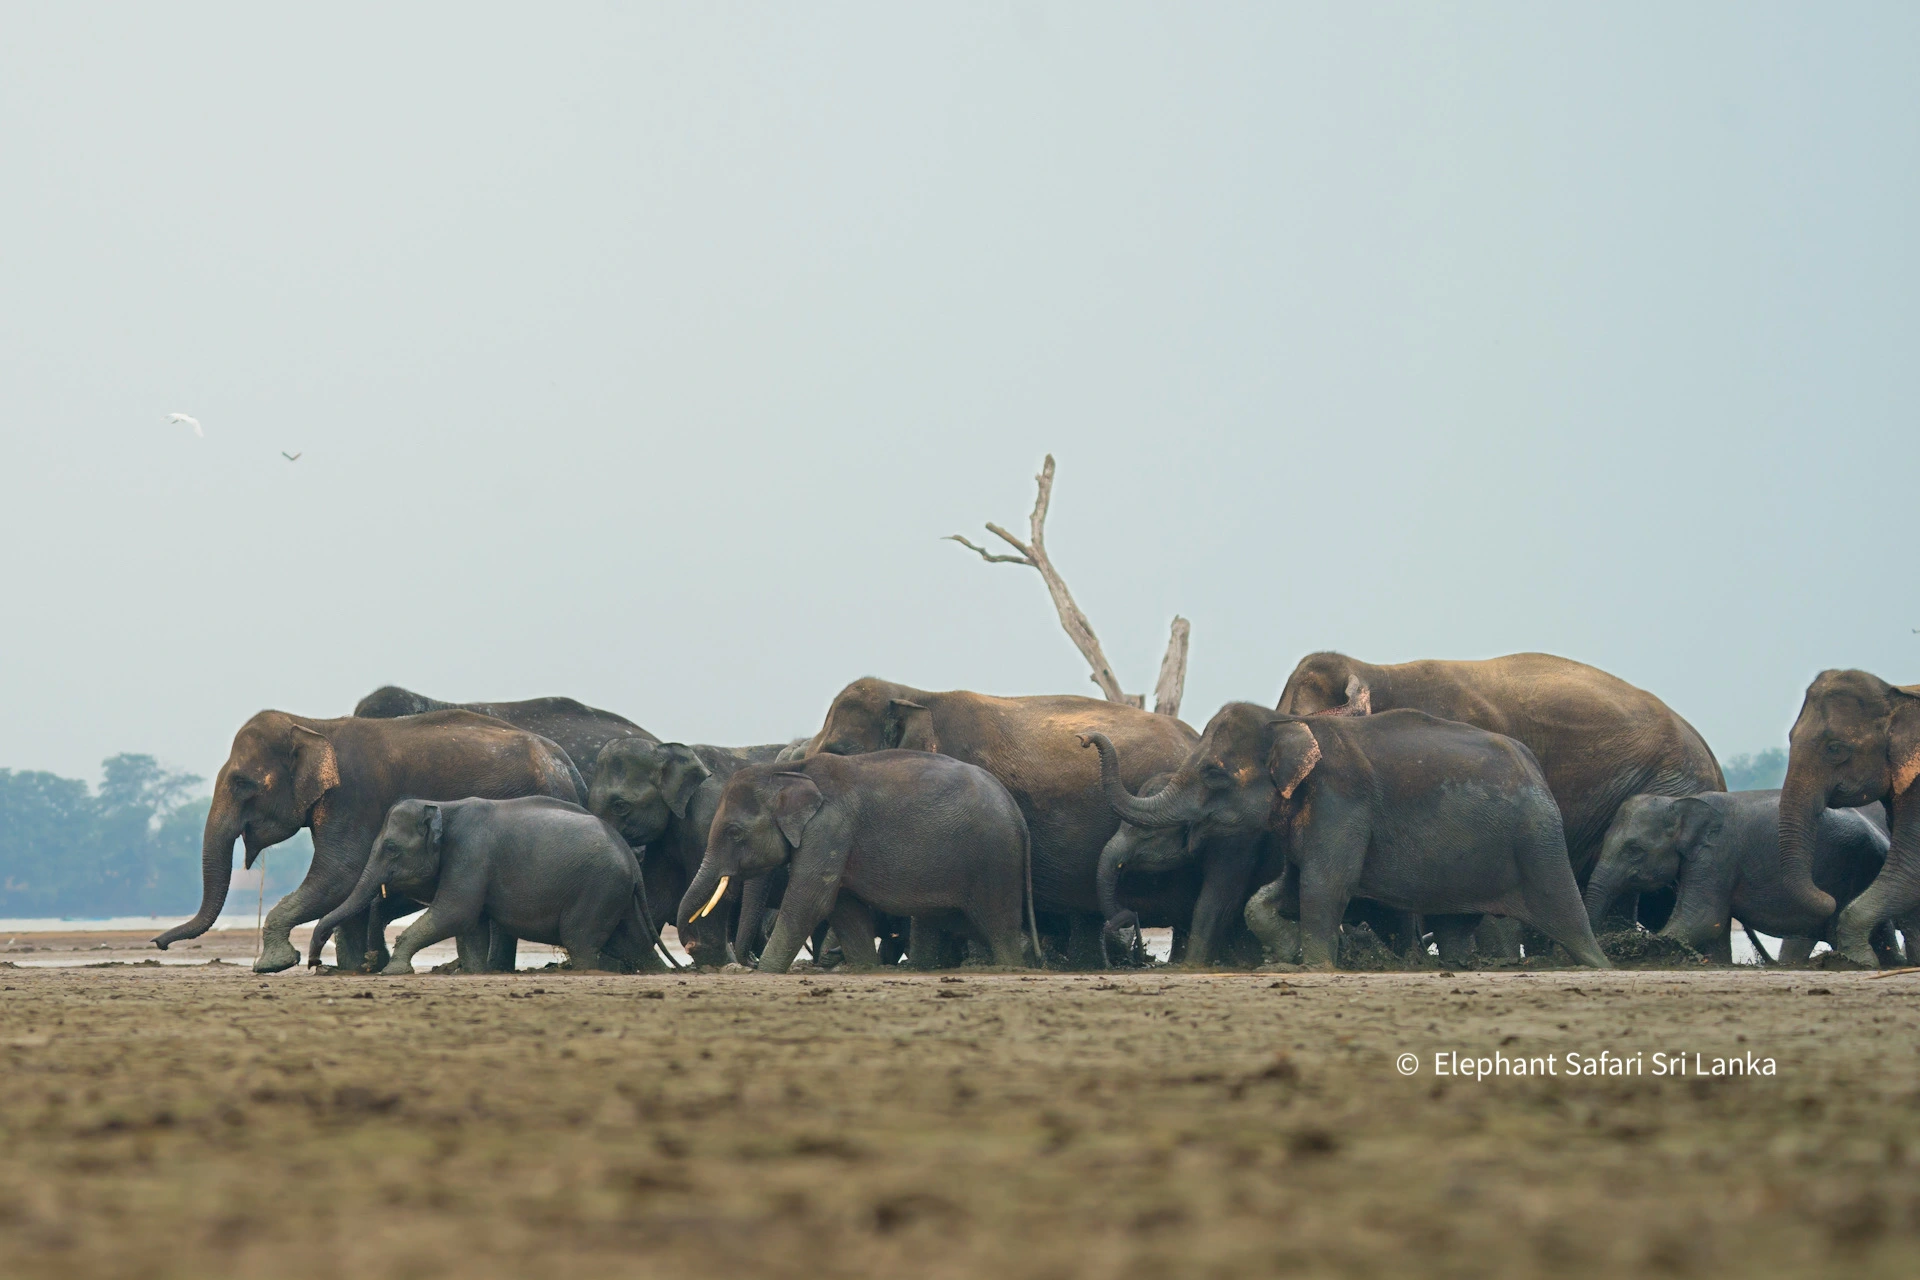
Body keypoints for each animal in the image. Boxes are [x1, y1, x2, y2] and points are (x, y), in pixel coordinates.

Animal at [152, 710, 584, 973]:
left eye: (243, 783)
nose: (158, 942)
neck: (312, 725)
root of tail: (568, 765)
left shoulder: (353, 798)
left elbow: (340, 872)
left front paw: (273, 964)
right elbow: (347, 881)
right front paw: (351, 968)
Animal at [309, 796, 664, 975]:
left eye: (391, 848)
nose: (315, 964)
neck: (442, 806)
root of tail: (630, 857)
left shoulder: (469, 855)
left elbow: (455, 913)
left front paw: (394, 972)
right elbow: (471, 924)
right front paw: (472, 972)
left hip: (597, 889)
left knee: (580, 940)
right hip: (616, 892)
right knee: (633, 943)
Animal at [678, 750, 1039, 975]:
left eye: (734, 832)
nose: (747, 962)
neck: (793, 772)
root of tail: (1018, 816)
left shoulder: (830, 829)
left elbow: (810, 903)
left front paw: (767, 973)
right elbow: (844, 908)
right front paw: (867, 968)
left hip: (995, 860)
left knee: (998, 924)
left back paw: (1011, 966)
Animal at [1084, 703, 1611, 970]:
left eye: (1214, 773)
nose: (1086, 738)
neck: (1291, 724)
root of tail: (1535, 768)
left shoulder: (1340, 802)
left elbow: (1325, 885)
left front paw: (1314, 965)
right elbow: (1282, 888)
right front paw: (1283, 956)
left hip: (1538, 841)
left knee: (1566, 911)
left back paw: (1598, 964)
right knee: (1457, 926)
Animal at [1584, 790, 1902, 963]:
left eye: (1634, 850)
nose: (1604, 942)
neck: (1680, 802)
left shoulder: (1717, 857)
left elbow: (1700, 918)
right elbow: (1713, 924)